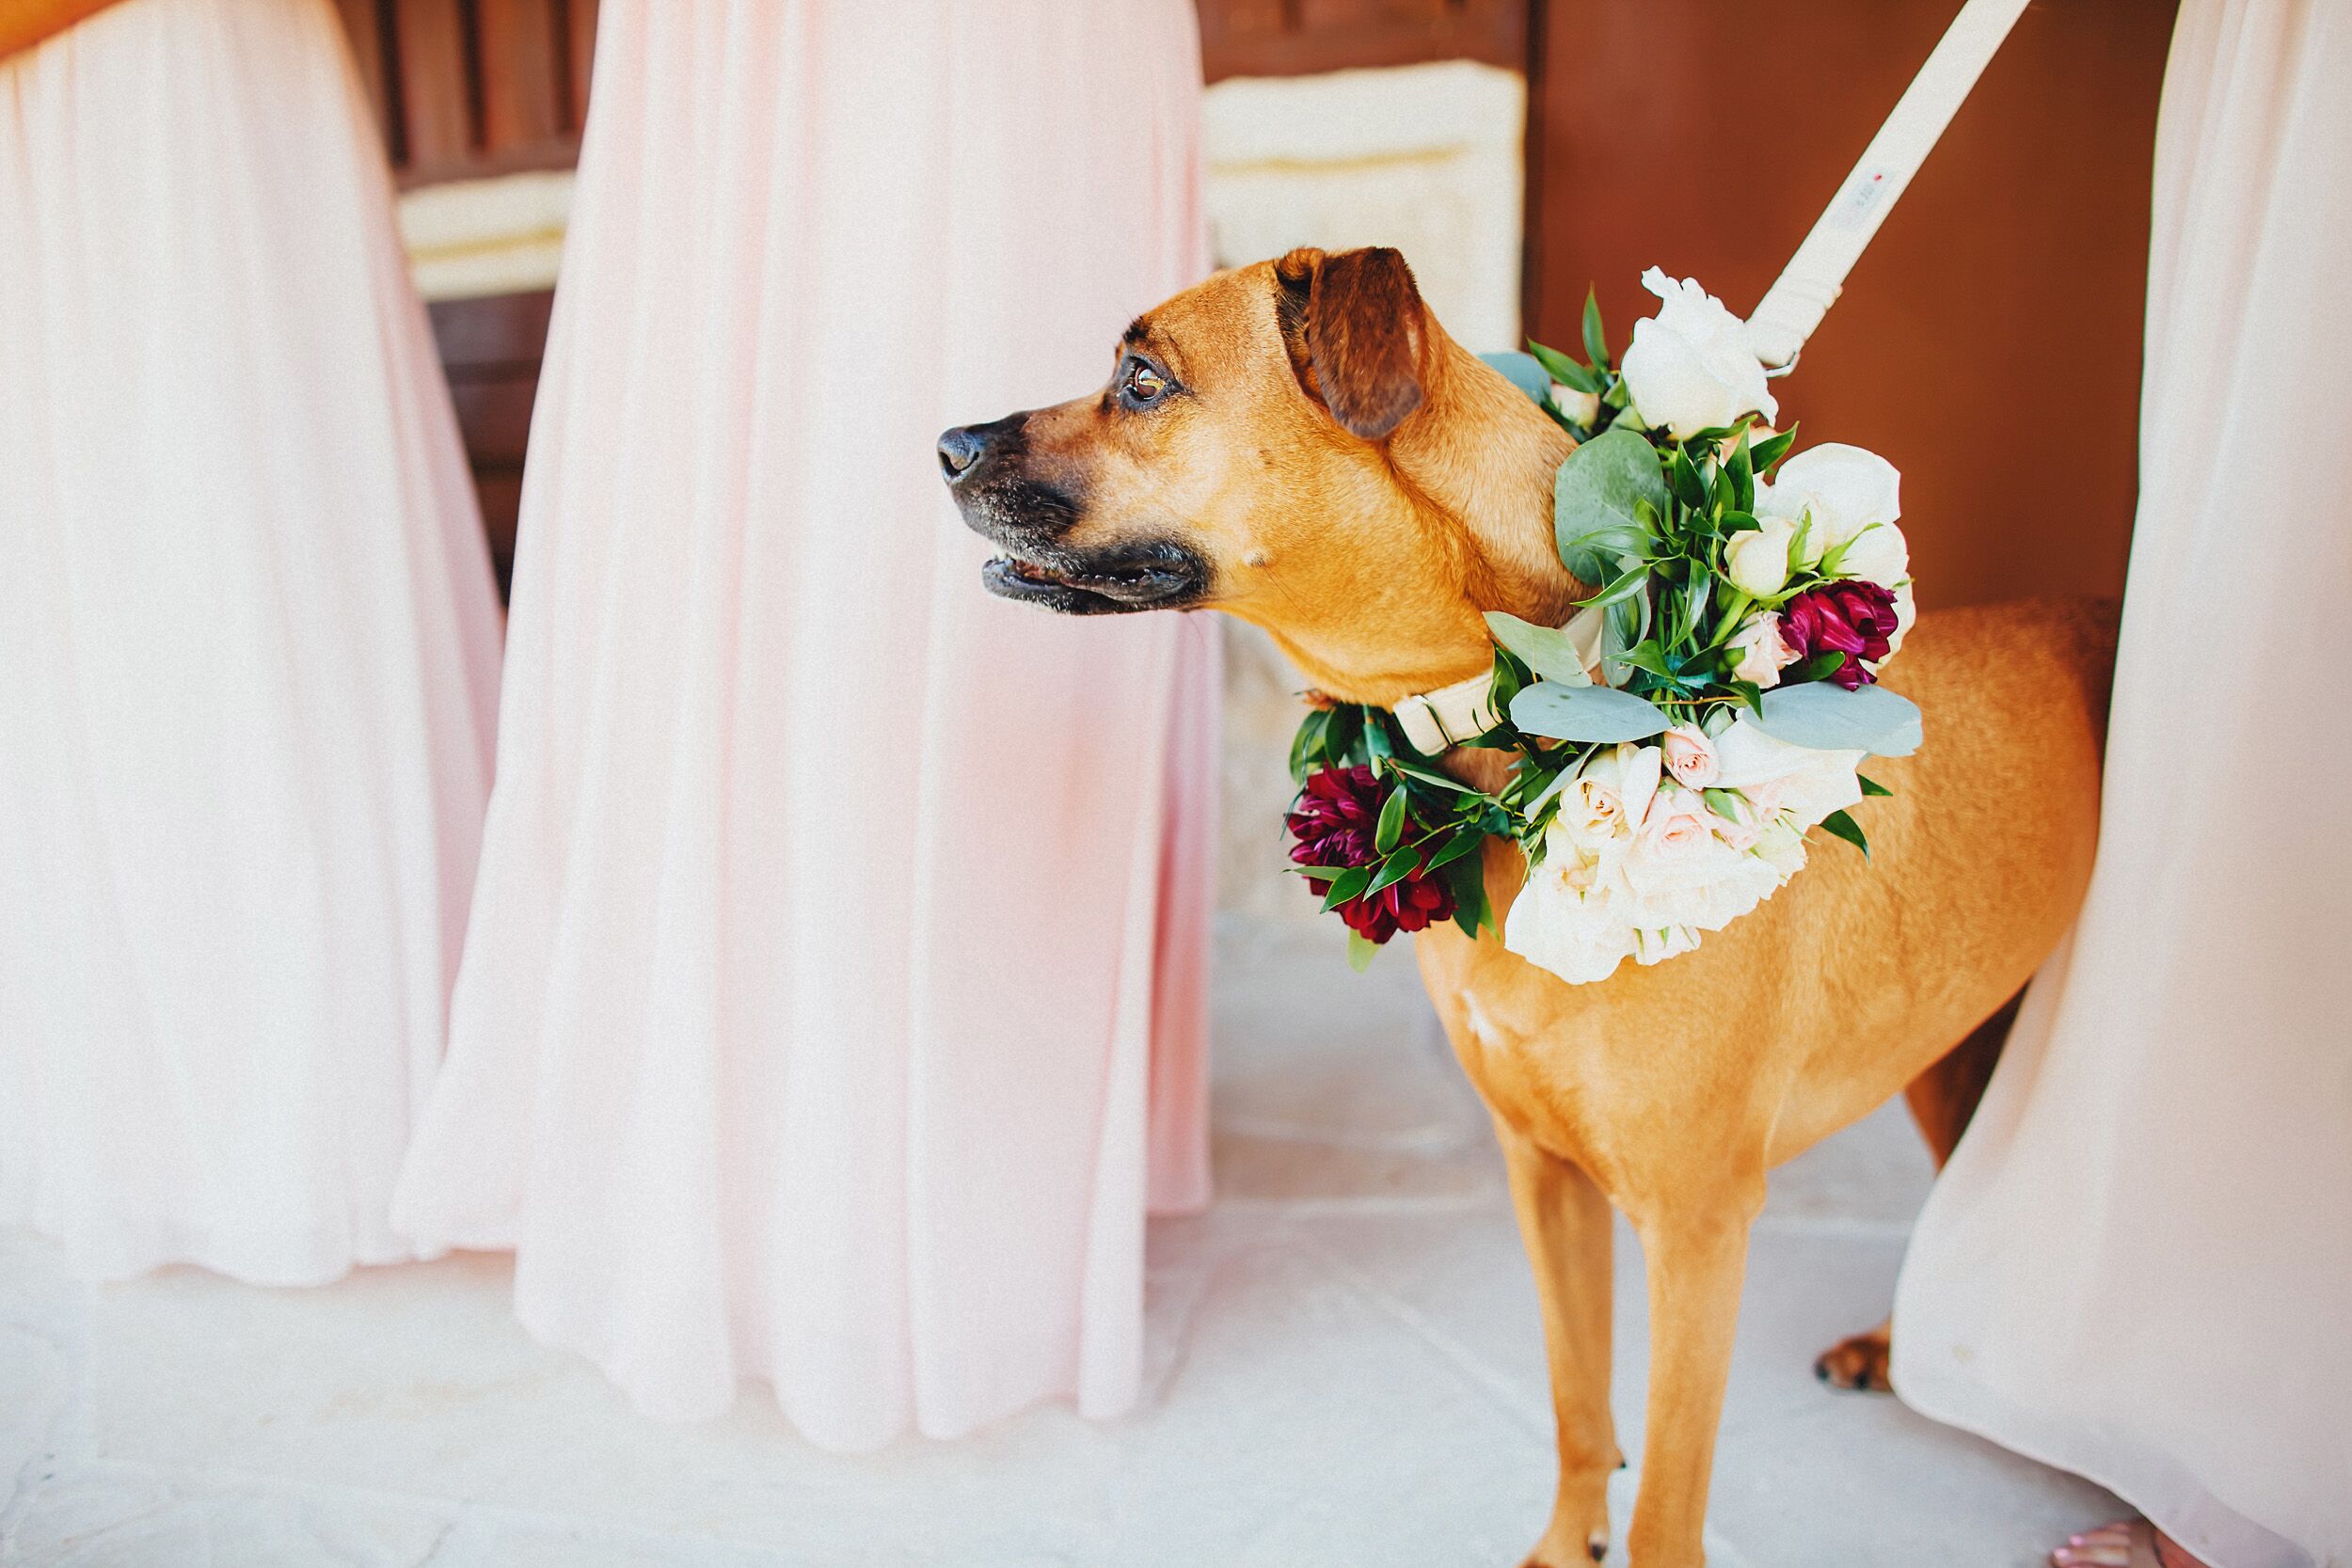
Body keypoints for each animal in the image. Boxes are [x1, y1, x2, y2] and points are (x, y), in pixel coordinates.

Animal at [936, 247, 2117, 1568]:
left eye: (1142, 381)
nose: (942, 444)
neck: (1502, 713)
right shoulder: (1542, 1175)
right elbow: (1574, 1397)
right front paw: (1563, 1540)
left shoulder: (1697, 1227)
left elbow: (1665, 1502)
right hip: (1953, 1052)